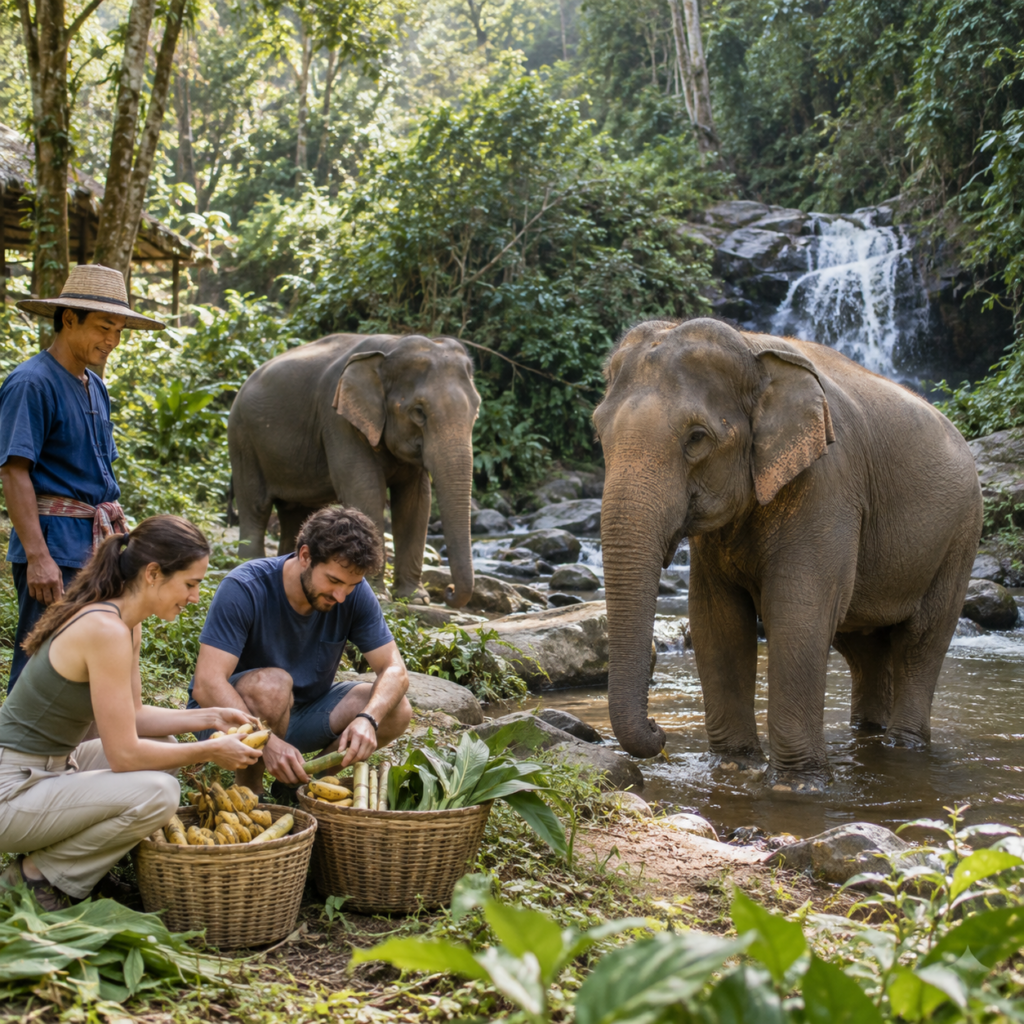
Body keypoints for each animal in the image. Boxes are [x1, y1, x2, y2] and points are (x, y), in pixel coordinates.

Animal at [228, 333, 480, 607]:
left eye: (476, 411)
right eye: (418, 412)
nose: (448, 590)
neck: (391, 346)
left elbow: (416, 501)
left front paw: (415, 599)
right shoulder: (338, 420)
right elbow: (365, 488)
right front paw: (379, 594)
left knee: (295, 512)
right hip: (242, 440)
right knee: (256, 506)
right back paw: (249, 561)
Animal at [594, 317, 983, 788]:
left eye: (697, 438)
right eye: (598, 433)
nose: (658, 731)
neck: (751, 347)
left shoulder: (828, 483)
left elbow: (799, 610)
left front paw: (797, 785)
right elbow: (715, 619)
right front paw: (733, 766)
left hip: (960, 535)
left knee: (921, 639)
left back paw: (902, 746)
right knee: (865, 648)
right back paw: (868, 732)